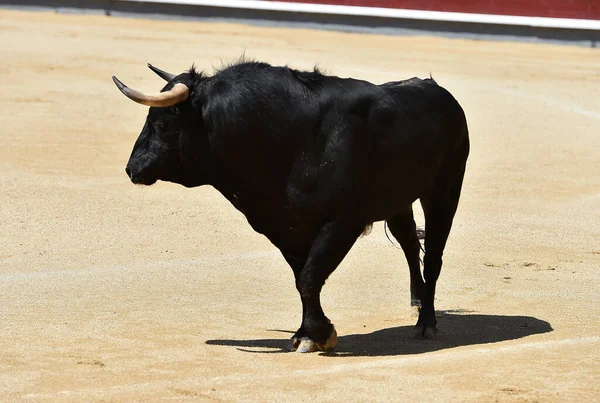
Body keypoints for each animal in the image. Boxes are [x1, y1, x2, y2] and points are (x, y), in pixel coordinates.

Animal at [112, 60, 468, 354]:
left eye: (162, 125)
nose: (132, 168)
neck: (288, 139)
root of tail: (439, 91)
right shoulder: (283, 227)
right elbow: (302, 280)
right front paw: (306, 333)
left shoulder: (341, 222)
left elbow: (310, 277)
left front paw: (320, 335)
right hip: (398, 199)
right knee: (409, 242)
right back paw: (416, 300)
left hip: (445, 189)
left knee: (433, 256)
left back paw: (426, 323)